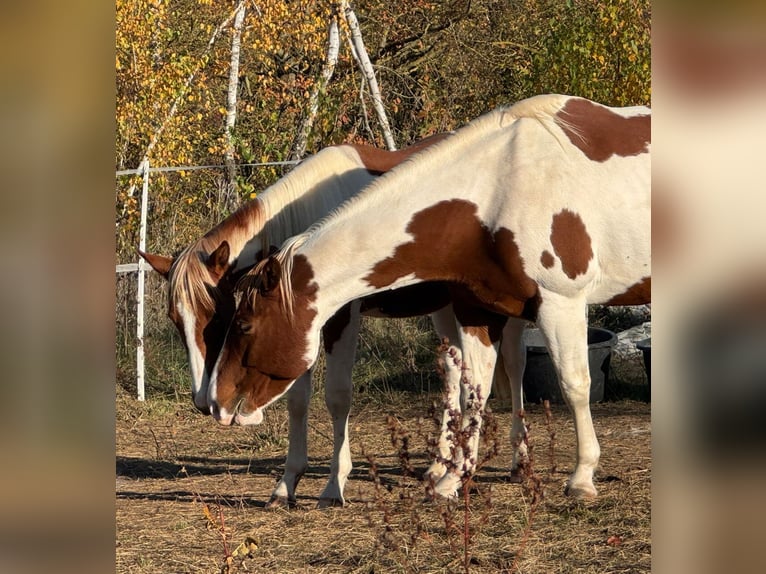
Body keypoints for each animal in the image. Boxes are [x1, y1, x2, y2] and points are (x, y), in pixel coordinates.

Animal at [210, 94, 656, 500]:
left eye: (244, 324)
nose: (217, 402)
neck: (498, 188)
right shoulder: (478, 309)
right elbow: (474, 393)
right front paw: (452, 479)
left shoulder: (561, 302)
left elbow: (574, 384)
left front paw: (582, 477)